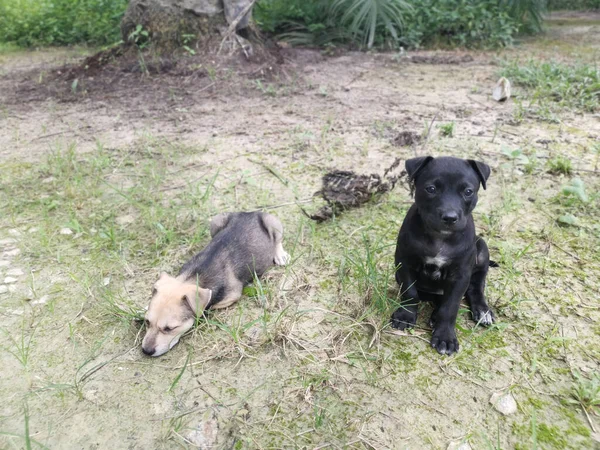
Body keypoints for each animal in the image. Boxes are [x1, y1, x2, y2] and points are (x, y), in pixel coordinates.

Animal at [143, 213, 288, 356]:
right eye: (147, 322)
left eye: (169, 328)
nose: (146, 351)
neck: (195, 276)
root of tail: (252, 212)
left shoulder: (232, 294)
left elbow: (208, 307)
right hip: (216, 221)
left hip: (272, 221)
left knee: (278, 240)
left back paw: (280, 255)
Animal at [392, 156, 494, 356]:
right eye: (431, 189)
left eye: (468, 191)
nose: (449, 217)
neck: (440, 237)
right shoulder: (404, 263)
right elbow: (410, 292)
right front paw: (405, 315)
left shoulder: (460, 276)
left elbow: (450, 307)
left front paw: (445, 337)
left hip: (482, 249)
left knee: (476, 287)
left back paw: (482, 311)